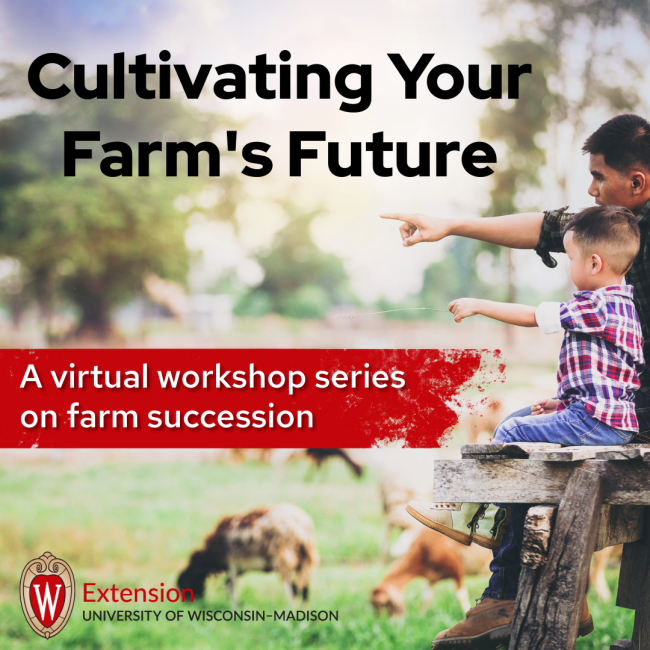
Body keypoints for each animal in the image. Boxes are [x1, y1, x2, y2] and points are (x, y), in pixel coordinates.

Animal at [177, 504, 318, 604]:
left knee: (292, 592)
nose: (190, 605)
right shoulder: (239, 568)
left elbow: (230, 585)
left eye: (186, 586)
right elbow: (228, 584)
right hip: (305, 561)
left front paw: (235, 607)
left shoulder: (232, 564)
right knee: (304, 590)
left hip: (283, 560)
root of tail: (302, 528)